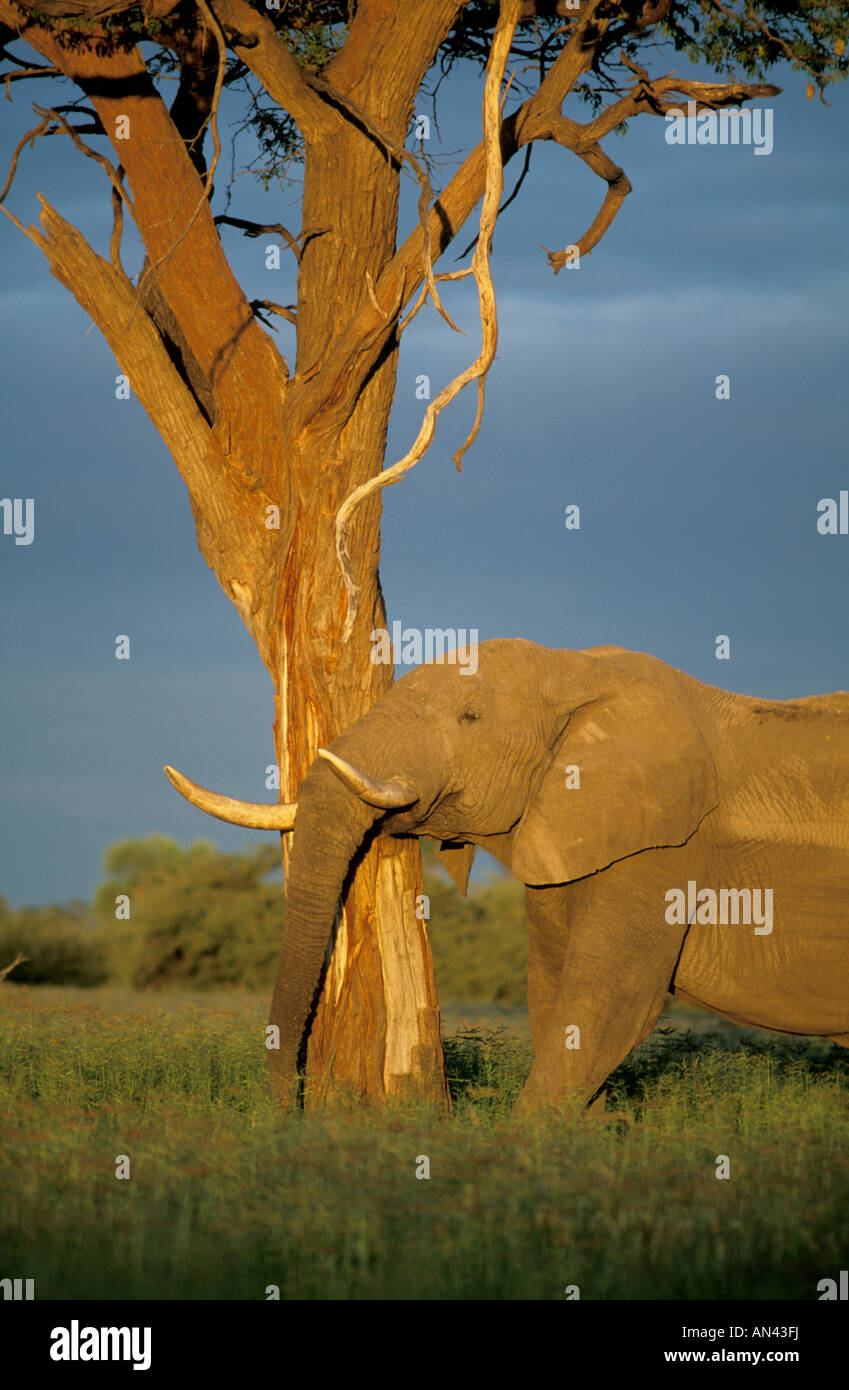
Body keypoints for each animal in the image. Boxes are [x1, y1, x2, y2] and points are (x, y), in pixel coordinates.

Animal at [164, 636, 849, 1106]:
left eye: (469, 718)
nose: (293, 1114)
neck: (574, 670)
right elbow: (550, 994)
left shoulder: (666, 846)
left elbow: (608, 1002)